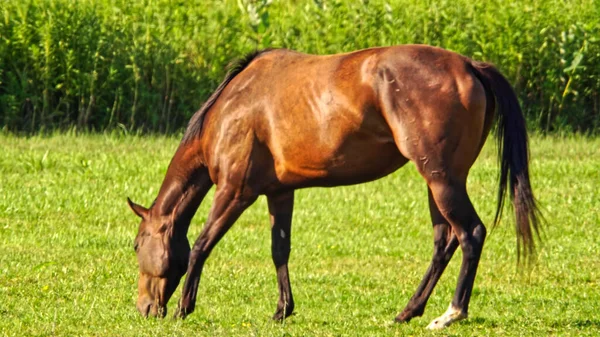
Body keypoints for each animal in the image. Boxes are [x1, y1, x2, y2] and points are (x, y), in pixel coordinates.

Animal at [126, 44, 540, 328]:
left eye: (136, 245)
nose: (145, 308)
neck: (232, 107)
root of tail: (470, 66)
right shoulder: (279, 193)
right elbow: (280, 250)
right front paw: (282, 309)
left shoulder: (234, 192)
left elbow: (201, 245)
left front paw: (184, 308)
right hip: (440, 182)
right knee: (445, 241)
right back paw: (407, 311)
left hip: (441, 180)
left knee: (470, 234)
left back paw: (451, 313)